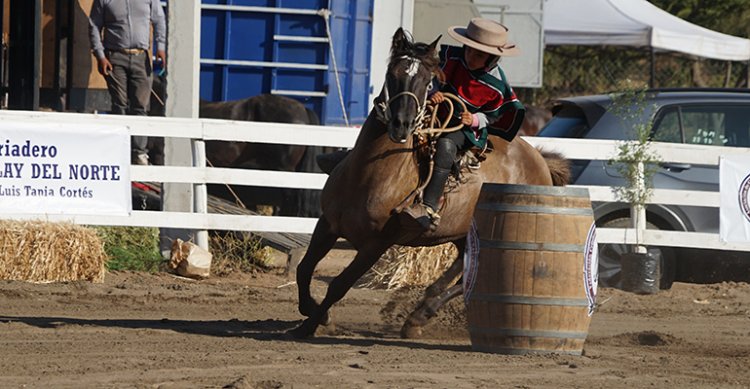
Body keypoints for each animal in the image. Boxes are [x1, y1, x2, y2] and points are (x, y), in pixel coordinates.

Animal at [290, 27, 568, 338]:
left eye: (427, 80)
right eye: (392, 73)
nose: (402, 124)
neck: (366, 176)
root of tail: (541, 162)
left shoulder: (377, 243)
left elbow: (339, 285)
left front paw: (311, 324)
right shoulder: (327, 224)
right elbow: (304, 269)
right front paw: (313, 313)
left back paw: (420, 315)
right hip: (463, 235)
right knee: (464, 272)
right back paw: (422, 310)